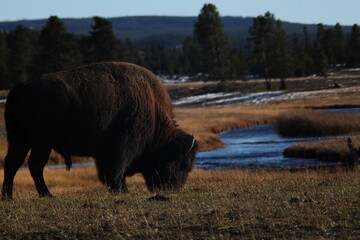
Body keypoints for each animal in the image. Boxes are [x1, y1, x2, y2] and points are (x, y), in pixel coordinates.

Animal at [1, 62, 197, 199]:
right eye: (182, 164)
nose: (174, 189)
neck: (153, 109)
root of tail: (16, 91)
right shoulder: (123, 146)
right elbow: (116, 170)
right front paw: (122, 191)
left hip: (20, 139)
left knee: (13, 163)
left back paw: (9, 196)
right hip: (41, 142)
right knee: (34, 165)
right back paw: (46, 194)